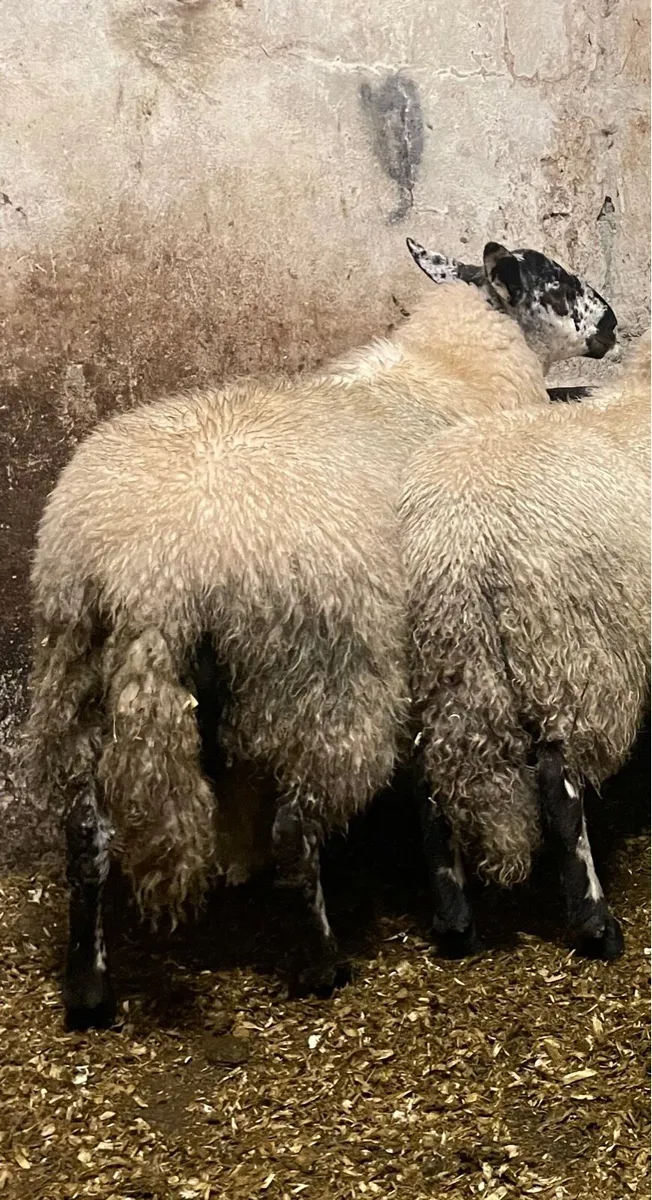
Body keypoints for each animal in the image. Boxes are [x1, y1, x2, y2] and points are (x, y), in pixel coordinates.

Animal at [25, 241, 617, 1027]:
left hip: (79, 667)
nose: (613, 326)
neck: (452, 367)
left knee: (87, 835)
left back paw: (89, 991)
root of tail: (148, 566)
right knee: (296, 827)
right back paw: (321, 962)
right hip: (317, 674)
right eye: (557, 281)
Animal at [399, 330, 650, 960]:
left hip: (436, 664)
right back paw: (596, 926)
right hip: (572, 653)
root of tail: (458, 540)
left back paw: (455, 922)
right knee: (561, 793)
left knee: (430, 783)